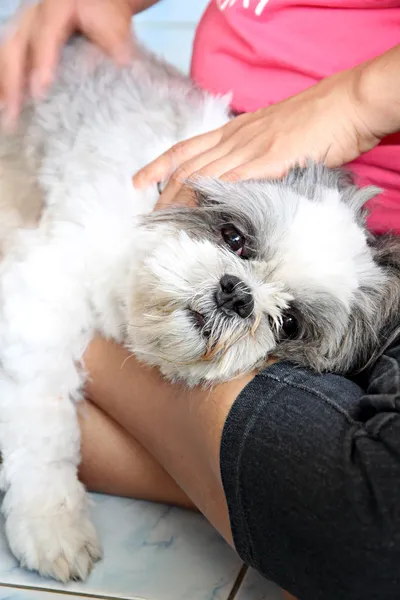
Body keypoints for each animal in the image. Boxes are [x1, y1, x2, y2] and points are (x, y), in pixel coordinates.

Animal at [0, 36, 398, 580]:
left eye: (289, 323)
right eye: (234, 238)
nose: (237, 294)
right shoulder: (43, 291)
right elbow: (42, 420)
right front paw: (49, 517)